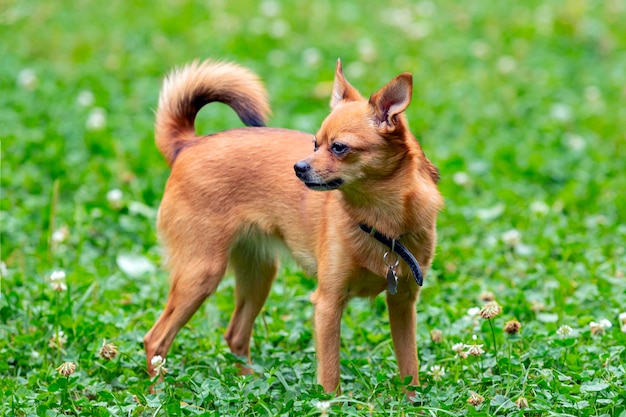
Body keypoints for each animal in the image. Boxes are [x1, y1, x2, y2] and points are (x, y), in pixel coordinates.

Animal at [144, 59, 442, 394]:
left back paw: (249, 387)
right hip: (200, 275)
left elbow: (410, 367)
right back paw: (159, 395)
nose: (298, 168)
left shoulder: (402, 303)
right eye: (315, 143)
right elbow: (330, 373)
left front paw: (413, 401)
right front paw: (330, 403)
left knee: (235, 335)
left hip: (258, 274)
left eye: (339, 148)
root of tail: (188, 145)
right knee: (155, 340)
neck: (381, 221)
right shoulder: (327, 304)